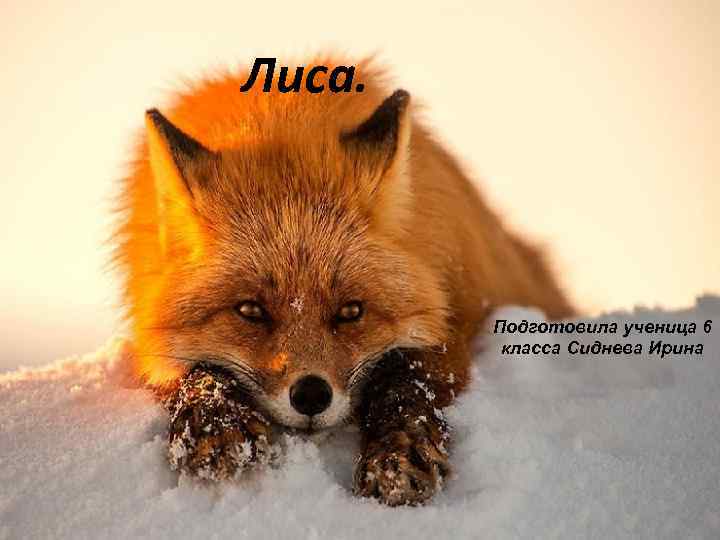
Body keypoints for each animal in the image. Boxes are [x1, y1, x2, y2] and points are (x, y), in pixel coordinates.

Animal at [113, 56, 573, 506]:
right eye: (250, 310)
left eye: (351, 311)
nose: (311, 395)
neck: (281, 116)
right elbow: (201, 373)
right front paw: (216, 424)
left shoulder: (453, 326)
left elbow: (406, 379)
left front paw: (398, 453)